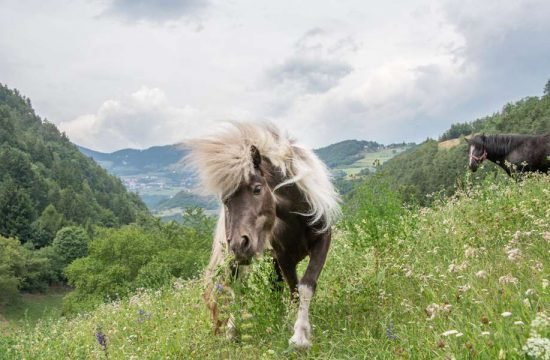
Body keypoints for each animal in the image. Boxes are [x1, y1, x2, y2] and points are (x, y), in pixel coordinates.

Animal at [185, 121, 340, 348]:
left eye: (257, 189)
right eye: (225, 200)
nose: (239, 244)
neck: (297, 217)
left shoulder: (322, 241)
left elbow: (306, 285)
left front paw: (299, 334)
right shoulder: (284, 257)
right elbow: (294, 290)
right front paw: (298, 333)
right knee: (236, 289)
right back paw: (232, 331)